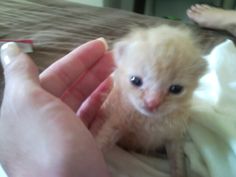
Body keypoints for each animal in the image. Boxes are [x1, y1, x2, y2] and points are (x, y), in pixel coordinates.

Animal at [92, 24, 206, 177]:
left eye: (176, 89)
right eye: (135, 80)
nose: (152, 103)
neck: (149, 121)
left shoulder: (174, 134)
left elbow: (177, 159)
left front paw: (179, 172)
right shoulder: (117, 120)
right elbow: (103, 140)